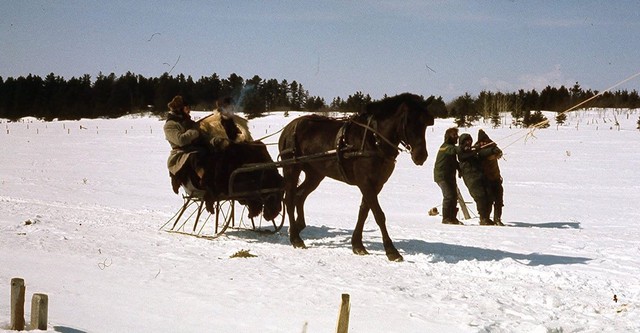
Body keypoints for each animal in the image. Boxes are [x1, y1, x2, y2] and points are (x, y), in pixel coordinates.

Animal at [278, 92, 436, 260]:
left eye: (426, 123)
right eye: (408, 121)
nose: (421, 156)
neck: (373, 139)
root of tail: (288, 128)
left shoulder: (377, 184)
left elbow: (364, 212)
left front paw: (357, 245)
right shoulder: (365, 182)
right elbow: (378, 214)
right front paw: (391, 250)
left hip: (315, 174)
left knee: (299, 196)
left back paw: (297, 227)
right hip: (291, 168)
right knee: (289, 199)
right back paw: (295, 238)